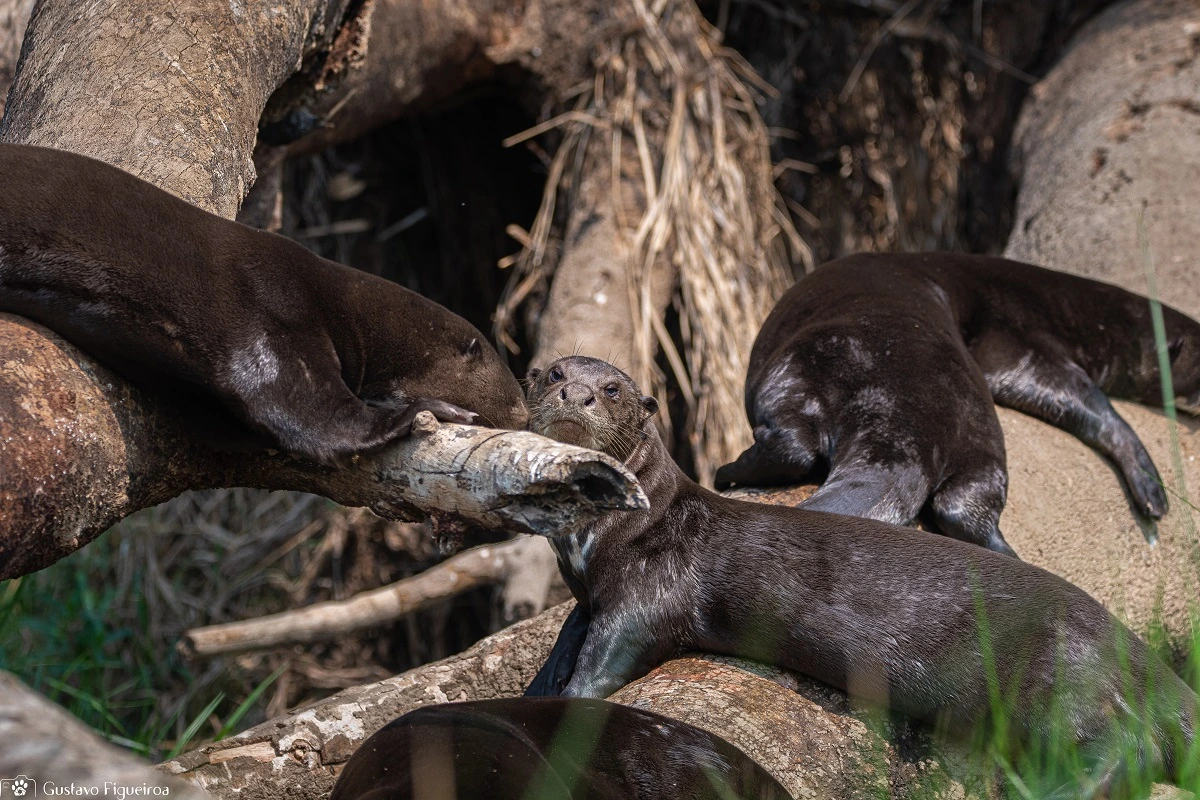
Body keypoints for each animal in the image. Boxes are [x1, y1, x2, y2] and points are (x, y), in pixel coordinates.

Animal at [528, 359, 1200, 796]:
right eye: (554, 373)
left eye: (613, 388)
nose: (578, 397)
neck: (608, 535)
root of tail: (1132, 649)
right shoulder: (589, 592)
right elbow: (567, 634)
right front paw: (537, 687)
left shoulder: (647, 592)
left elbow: (609, 654)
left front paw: (567, 699)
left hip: (1053, 676)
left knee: (1128, 746)